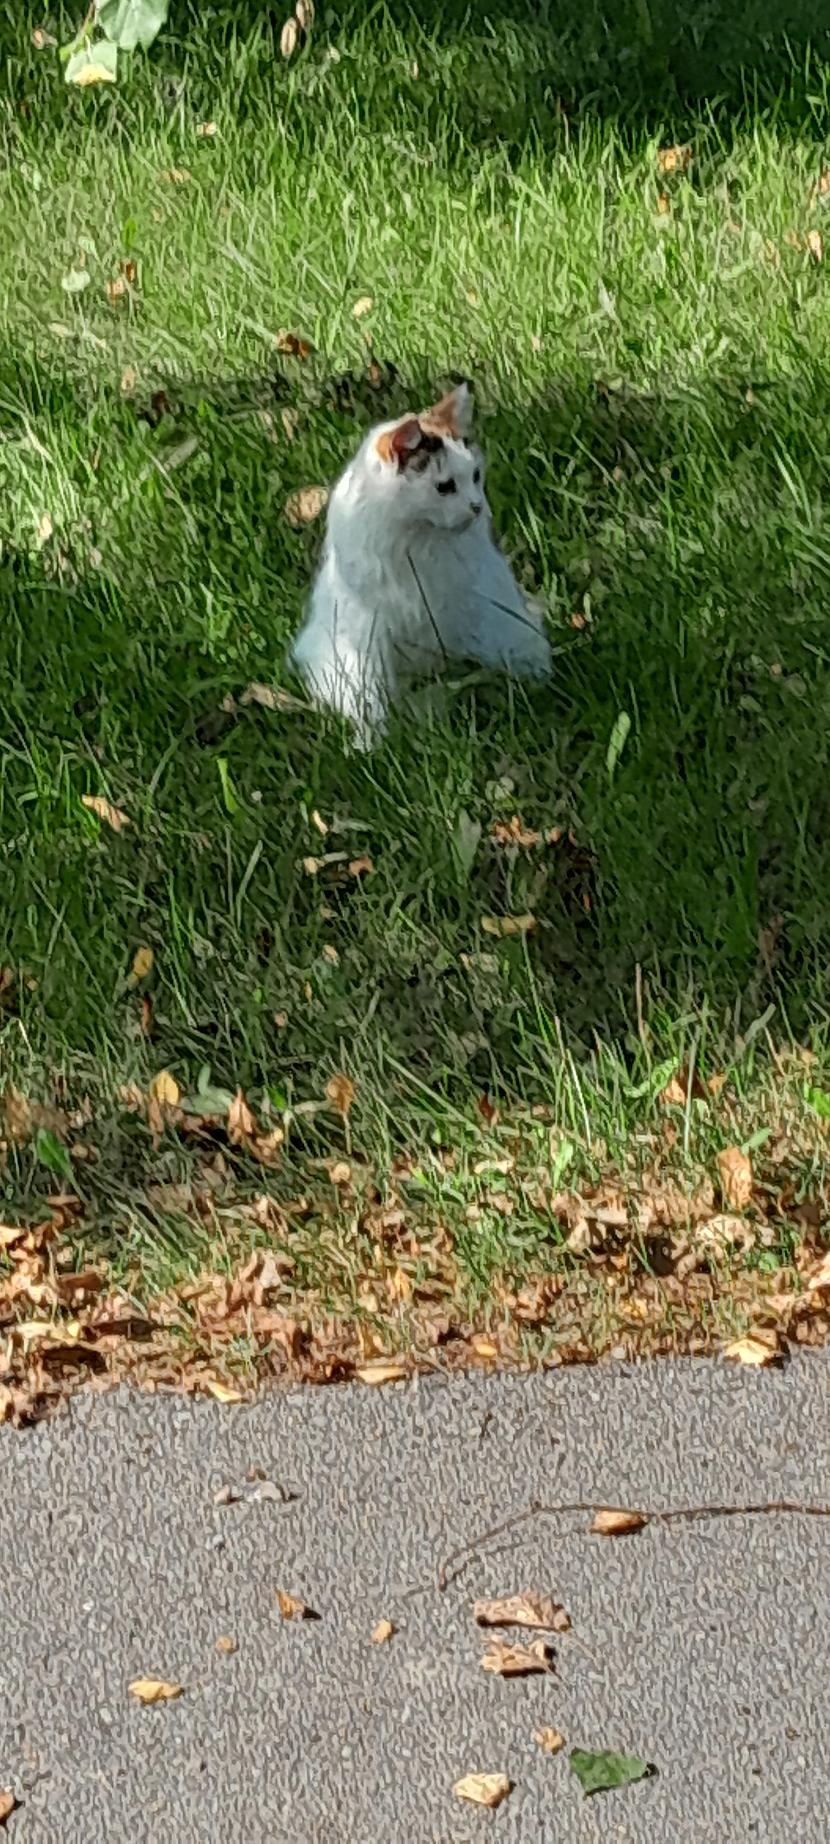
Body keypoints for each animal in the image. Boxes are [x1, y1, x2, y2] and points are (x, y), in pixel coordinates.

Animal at [287, 381, 553, 748]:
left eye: (475, 475)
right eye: (445, 487)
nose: (476, 506)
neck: (419, 539)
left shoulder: (485, 599)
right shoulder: (367, 633)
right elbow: (369, 696)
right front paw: (371, 742)